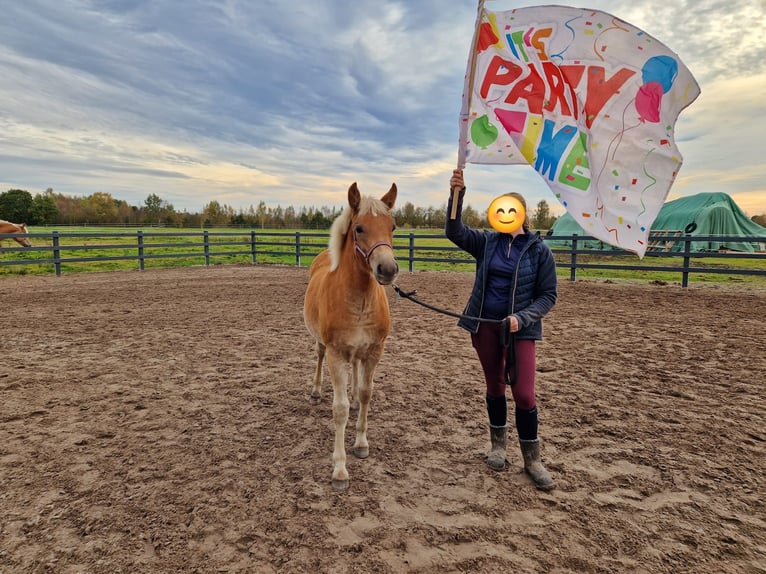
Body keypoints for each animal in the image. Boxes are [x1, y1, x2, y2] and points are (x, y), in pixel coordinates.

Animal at [304, 182, 402, 492]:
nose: (387, 269)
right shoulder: (336, 355)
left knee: (357, 375)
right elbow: (339, 410)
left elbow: (366, 393)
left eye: (392, 226)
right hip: (322, 345)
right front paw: (339, 470)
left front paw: (360, 444)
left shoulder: (374, 351)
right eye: (359, 228)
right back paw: (315, 391)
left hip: (359, 353)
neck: (358, 299)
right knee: (318, 357)